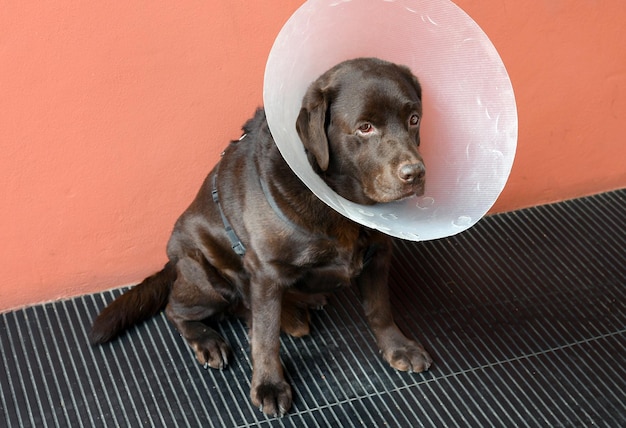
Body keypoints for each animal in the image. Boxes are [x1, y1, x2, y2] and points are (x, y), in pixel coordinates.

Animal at [90, 56, 432, 414]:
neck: (336, 204)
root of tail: (173, 263)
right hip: (205, 273)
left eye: (413, 119)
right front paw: (269, 384)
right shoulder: (266, 272)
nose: (415, 173)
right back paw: (209, 339)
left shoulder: (378, 255)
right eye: (365, 128)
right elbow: (266, 338)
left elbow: (379, 308)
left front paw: (397, 347)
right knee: (182, 309)